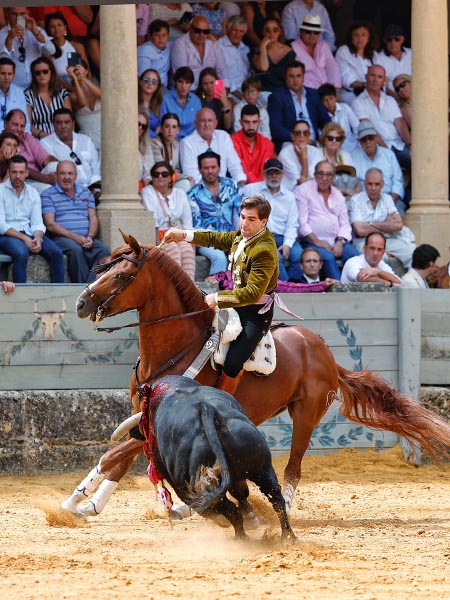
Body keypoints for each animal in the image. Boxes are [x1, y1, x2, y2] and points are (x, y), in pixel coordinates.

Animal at [62, 234, 450, 520]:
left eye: (122, 275)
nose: (80, 303)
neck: (179, 346)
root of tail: (325, 354)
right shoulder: (140, 419)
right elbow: (119, 461)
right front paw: (88, 504)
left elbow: (113, 456)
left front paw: (70, 503)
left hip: (306, 416)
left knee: (293, 468)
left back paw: (280, 510)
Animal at [142, 378, 298, 540]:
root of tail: (207, 409)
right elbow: (241, 492)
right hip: (263, 468)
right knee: (276, 498)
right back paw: (288, 537)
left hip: (189, 485)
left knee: (226, 508)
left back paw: (241, 538)